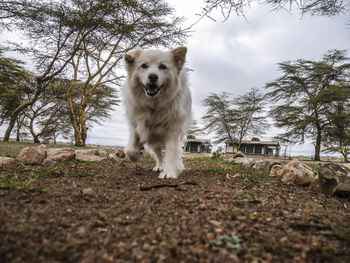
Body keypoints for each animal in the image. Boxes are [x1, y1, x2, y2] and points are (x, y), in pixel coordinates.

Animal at [123, 47, 191, 179]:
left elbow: (171, 153)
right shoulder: (136, 126)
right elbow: (130, 149)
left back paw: (178, 166)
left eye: (163, 67)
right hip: (154, 141)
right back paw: (159, 166)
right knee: (159, 155)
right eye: (144, 66)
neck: (153, 105)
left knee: (177, 154)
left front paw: (169, 172)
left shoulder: (173, 131)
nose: (153, 77)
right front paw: (137, 154)